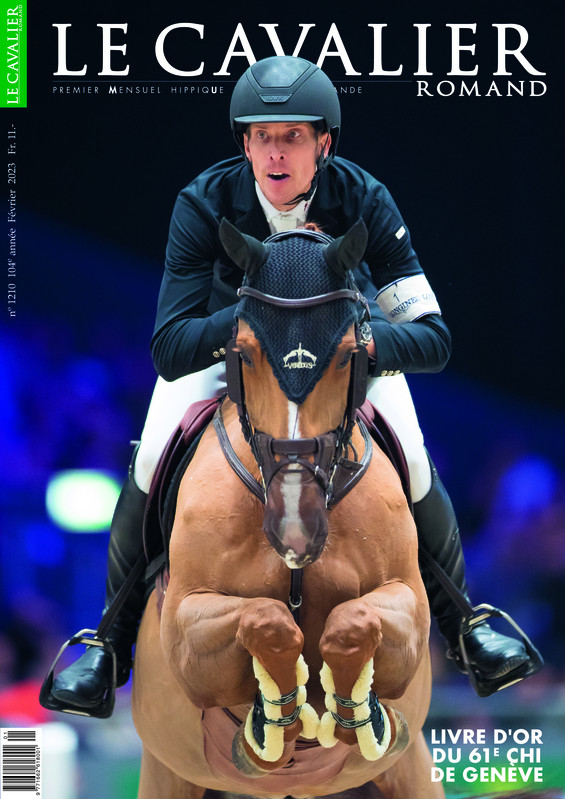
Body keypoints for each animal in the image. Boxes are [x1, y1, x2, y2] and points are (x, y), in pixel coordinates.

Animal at [131, 219, 443, 799]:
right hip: (166, 771)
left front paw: (359, 716)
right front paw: (275, 720)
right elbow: (269, 619)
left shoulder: (408, 607)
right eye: (245, 352)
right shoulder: (184, 629)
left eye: (347, 354)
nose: (295, 529)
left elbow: (353, 622)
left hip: (412, 768)